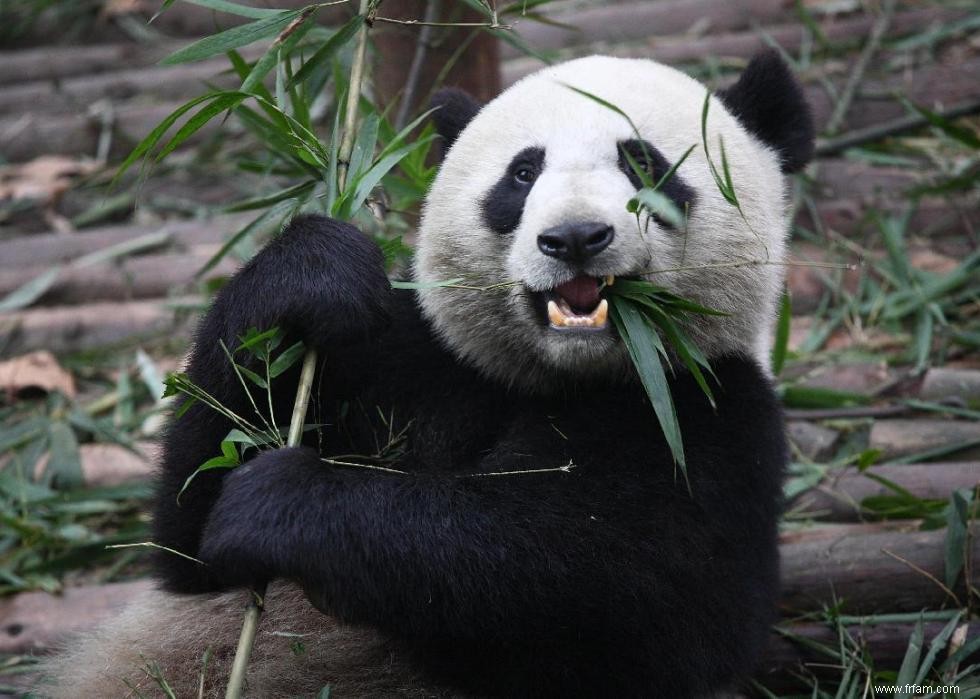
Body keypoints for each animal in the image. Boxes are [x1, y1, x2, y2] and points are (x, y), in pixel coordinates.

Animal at [44, 52, 812, 696]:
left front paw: (279, 501)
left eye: (645, 164)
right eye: (523, 174)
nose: (574, 238)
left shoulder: (709, 420)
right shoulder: (415, 361)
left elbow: (576, 575)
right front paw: (312, 274)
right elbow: (191, 541)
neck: (558, 377)